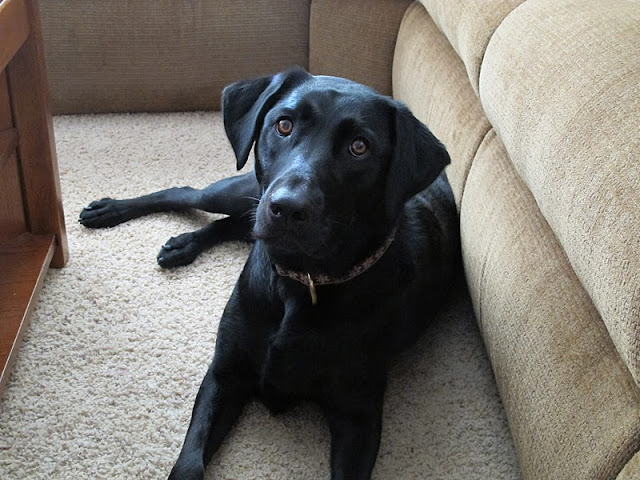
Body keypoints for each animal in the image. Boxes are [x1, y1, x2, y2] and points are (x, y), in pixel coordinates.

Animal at [80, 68, 460, 480]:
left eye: (359, 147)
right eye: (284, 124)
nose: (287, 208)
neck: (300, 284)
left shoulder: (359, 417)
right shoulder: (224, 373)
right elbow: (189, 463)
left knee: (233, 224)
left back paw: (182, 245)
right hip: (239, 191)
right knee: (187, 194)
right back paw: (110, 211)